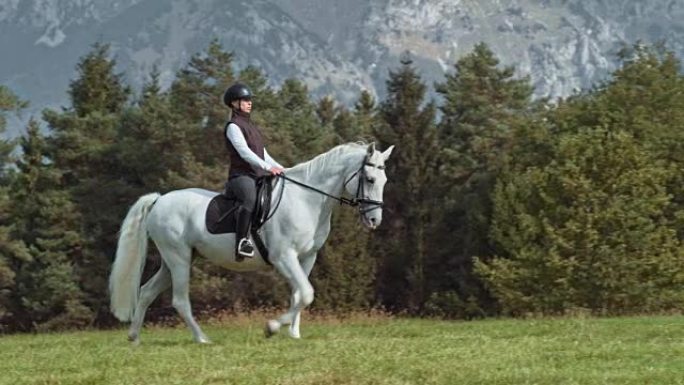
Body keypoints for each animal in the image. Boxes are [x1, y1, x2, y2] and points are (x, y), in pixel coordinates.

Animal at [108, 141, 396, 342]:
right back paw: (202, 339)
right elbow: (306, 292)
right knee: (180, 300)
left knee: (147, 291)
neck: (306, 199)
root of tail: (159, 200)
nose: (374, 220)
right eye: (370, 179)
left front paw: (293, 334)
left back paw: (134, 337)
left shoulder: (306, 257)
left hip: (175, 259)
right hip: (178, 258)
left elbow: (300, 294)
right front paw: (271, 328)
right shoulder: (284, 257)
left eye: (384, 180)